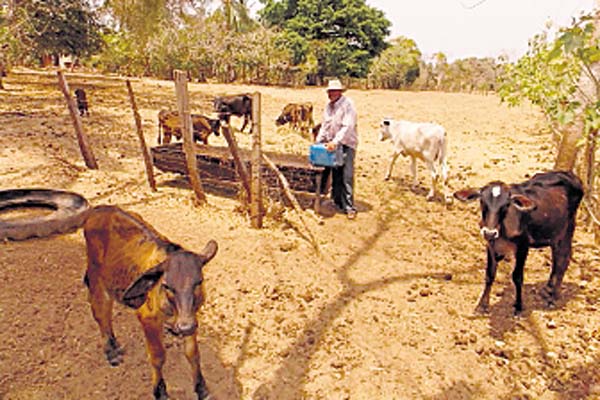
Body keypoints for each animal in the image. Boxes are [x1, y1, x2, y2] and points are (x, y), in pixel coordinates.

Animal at [82, 206, 218, 400]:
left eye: (199, 281)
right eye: (167, 285)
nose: (184, 327)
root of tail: (98, 209)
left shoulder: (193, 316)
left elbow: (193, 353)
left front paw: (201, 388)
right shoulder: (148, 319)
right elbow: (158, 356)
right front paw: (160, 390)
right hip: (97, 279)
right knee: (101, 313)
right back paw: (111, 350)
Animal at [454, 170, 580, 314]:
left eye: (506, 205)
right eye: (482, 202)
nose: (489, 232)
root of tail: (569, 174)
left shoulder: (523, 247)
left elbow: (517, 277)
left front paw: (518, 306)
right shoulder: (490, 245)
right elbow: (490, 274)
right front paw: (482, 304)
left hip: (567, 229)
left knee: (563, 259)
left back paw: (554, 296)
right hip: (554, 233)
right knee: (556, 258)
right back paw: (548, 289)